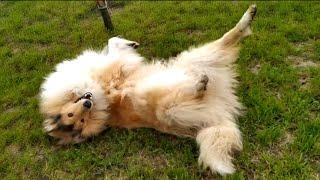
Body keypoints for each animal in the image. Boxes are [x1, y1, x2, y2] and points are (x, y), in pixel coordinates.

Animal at [38, 4, 256, 175]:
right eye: (78, 119)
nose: (88, 102)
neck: (100, 102)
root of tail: (219, 110)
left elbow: (112, 42)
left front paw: (129, 43)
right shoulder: (115, 67)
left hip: (194, 59)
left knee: (227, 39)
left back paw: (249, 16)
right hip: (168, 105)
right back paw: (200, 84)